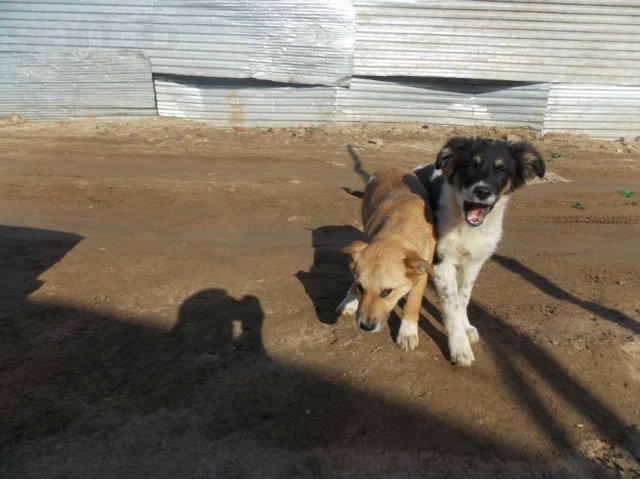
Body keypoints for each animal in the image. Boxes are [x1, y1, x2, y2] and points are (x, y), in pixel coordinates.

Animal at [336, 167, 436, 350]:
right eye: (361, 287)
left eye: (386, 292)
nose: (365, 326)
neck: (396, 233)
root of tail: (390, 168)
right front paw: (349, 301)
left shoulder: (423, 273)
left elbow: (413, 303)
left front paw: (407, 332)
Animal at [416, 137, 544, 366]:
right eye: (471, 165)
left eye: (502, 170)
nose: (482, 192)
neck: (468, 228)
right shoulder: (442, 261)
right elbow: (452, 303)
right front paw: (459, 347)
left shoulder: (474, 263)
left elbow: (463, 297)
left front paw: (465, 327)